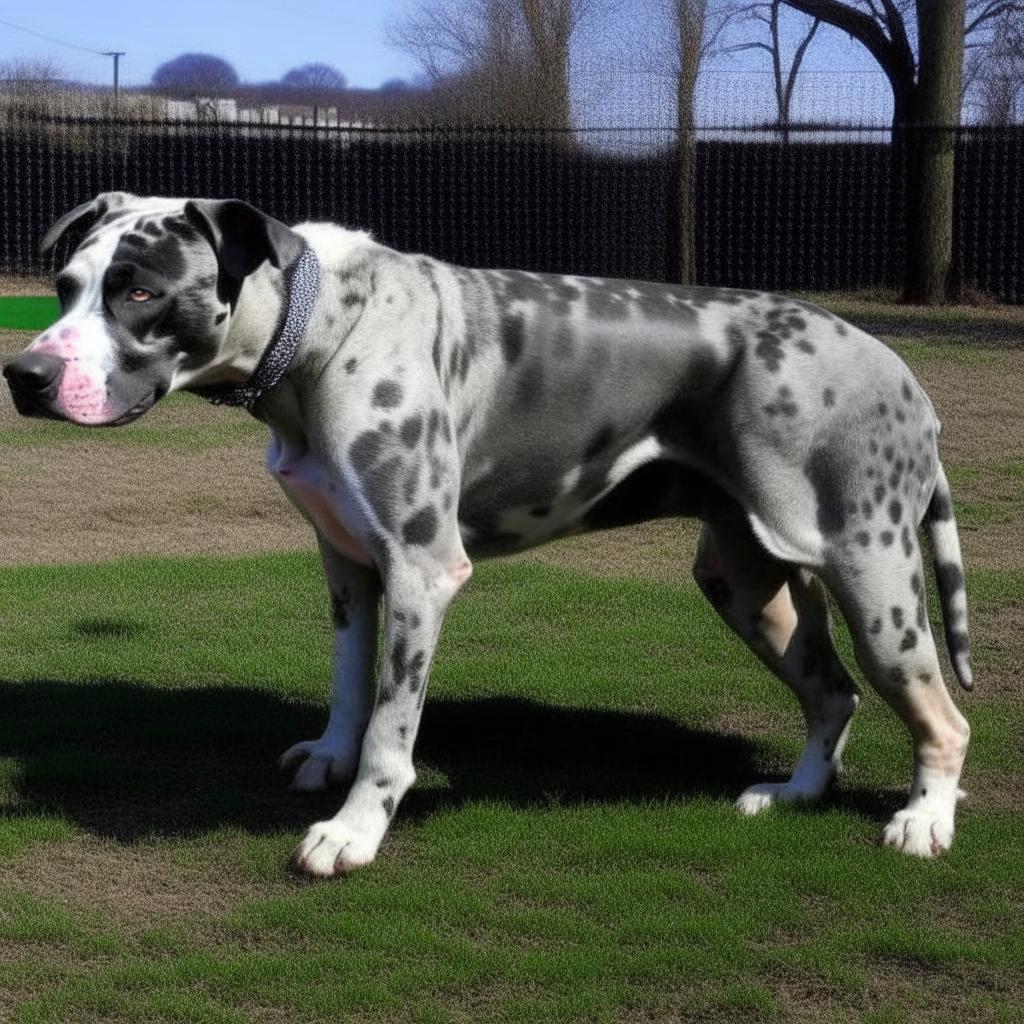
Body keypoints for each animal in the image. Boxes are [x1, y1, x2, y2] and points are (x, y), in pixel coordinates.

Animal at [3, 192, 973, 875]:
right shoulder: (348, 568)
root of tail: (904, 375)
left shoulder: (420, 571)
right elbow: (349, 690)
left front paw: (353, 832)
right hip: (748, 582)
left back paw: (924, 820)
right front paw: (328, 757)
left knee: (942, 716)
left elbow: (392, 729)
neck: (322, 330)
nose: (24, 374)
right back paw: (796, 794)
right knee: (834, 696)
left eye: (140, 292)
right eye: (64, 289)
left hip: (872, 575)